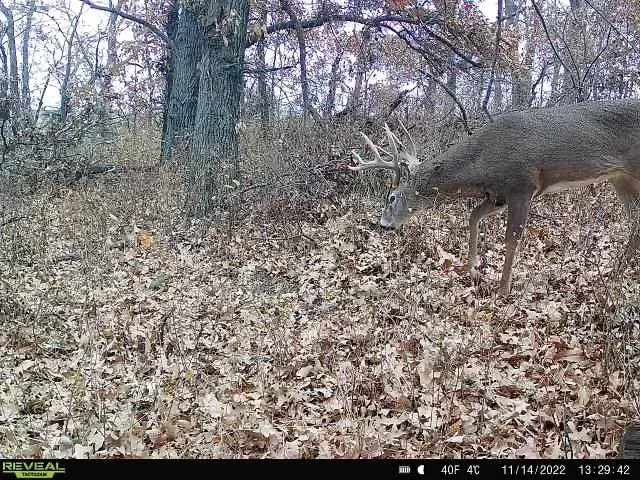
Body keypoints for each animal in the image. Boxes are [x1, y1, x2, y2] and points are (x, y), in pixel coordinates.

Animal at [350, 99, 640, 297]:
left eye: (391, 197)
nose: (383, 225)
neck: (484, 160)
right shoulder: (498, 195)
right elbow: (472, 216)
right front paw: (472, 269)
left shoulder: (522, 186)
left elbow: (512, 239)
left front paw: (502, 290)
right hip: (620, 178)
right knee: (635, 223)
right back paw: (613, 274)